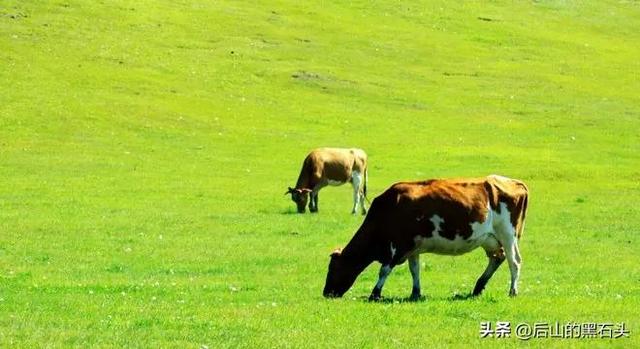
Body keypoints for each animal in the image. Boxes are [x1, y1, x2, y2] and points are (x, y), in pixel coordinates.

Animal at [322, 174, 528, 300]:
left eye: (333, 268)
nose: (326, 293)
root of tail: (514, 182)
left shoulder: (398, 245)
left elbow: (384, 270)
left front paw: (375, 293)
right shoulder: (413, 247)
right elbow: (415, 269)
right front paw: (416, 292)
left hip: (508, 234)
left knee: (514, 262)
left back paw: (512, 290)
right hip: (490, 239)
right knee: (497, 258)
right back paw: (478, 287)